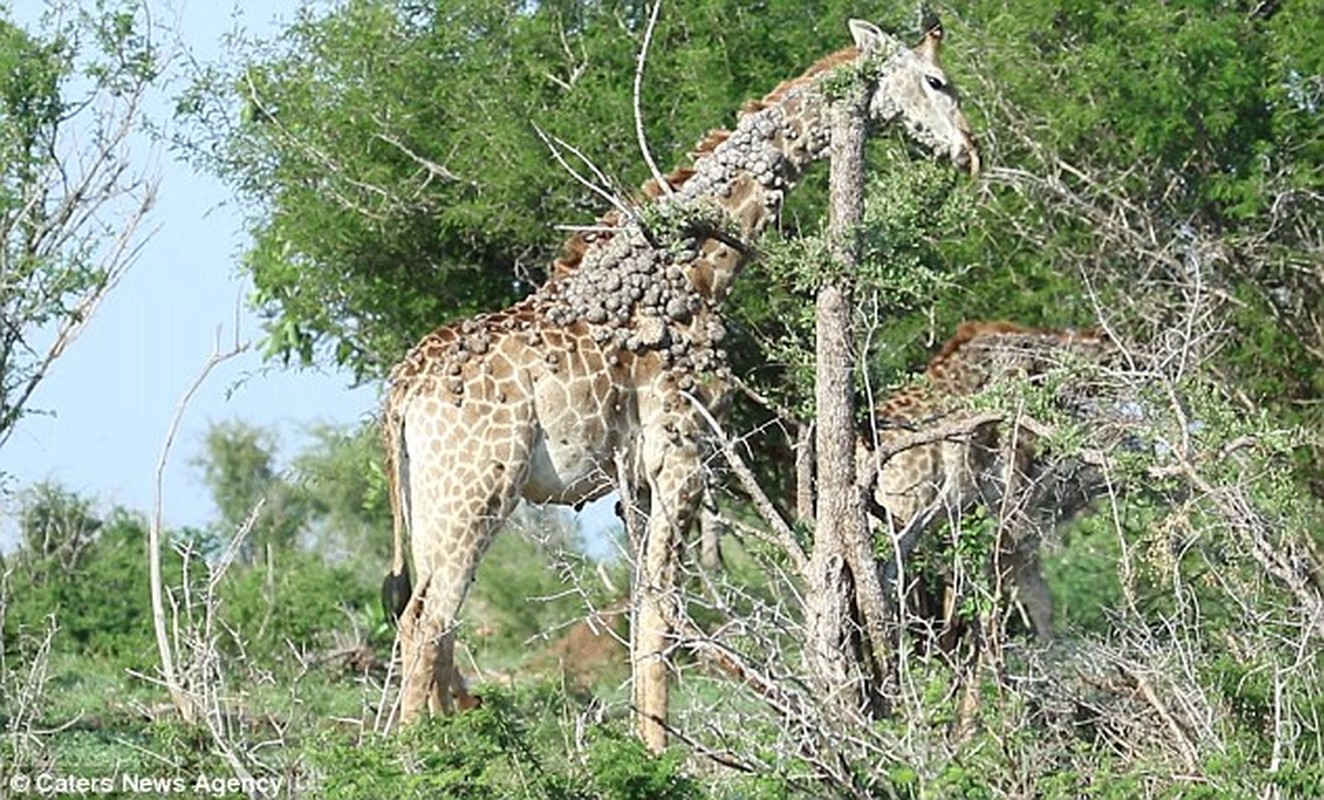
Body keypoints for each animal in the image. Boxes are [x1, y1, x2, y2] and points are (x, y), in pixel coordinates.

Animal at [386, 15, 985, 752]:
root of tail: (401, 394)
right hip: (476, 489)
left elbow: (646, 606)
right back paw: (414, 754)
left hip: (430, 500)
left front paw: (645, 741)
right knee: (430, 618)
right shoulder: (682, 454)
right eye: (937, 80)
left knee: (421, 619)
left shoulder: (636, 482)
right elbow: (662, 611)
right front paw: (657, 754)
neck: (699, 268)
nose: (969, 152)